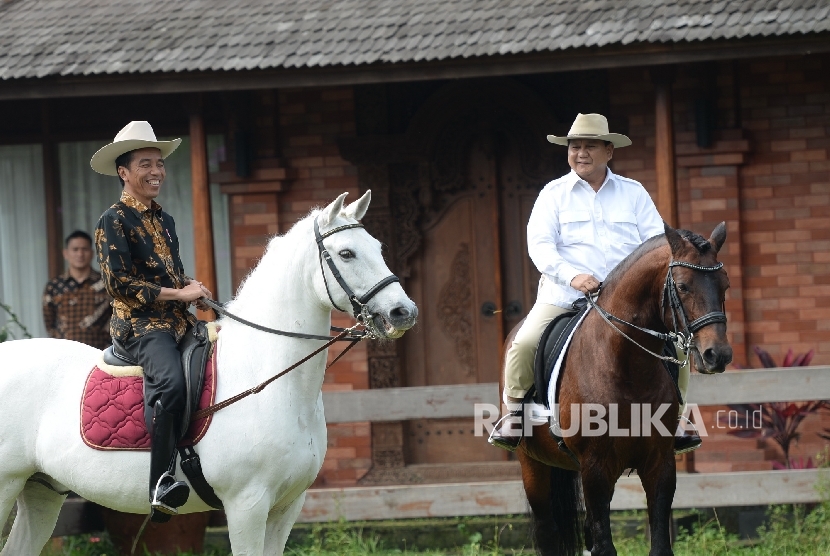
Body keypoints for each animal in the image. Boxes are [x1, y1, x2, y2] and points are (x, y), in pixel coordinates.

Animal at [0, 192, 420, 556]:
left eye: (378, 248)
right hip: (7, 486)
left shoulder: (287, 506)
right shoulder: (248, 504)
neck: (268, 377)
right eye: (346, 253)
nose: (403, 313)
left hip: (41, 490)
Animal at [508, 223, 736, 556]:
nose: (717, 355)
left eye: (725, 285)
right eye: (682, 286)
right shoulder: (595, 469)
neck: (626, 367)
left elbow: (659, 545)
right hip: (534, 467)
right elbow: (604, 546)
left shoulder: (659, 463)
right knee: (547, 531)